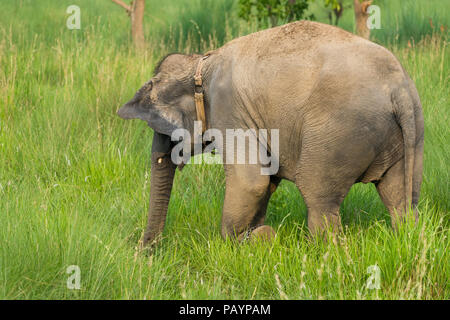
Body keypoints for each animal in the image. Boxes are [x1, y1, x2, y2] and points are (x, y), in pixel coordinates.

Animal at [118, 20, 424, 245]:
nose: (147, 251)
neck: (201, 62)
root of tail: (398, 87)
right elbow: (267, 179)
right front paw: (255, 233)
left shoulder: (229, 108)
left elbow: (250, 181)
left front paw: (241, 241)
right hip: (410, 134)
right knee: (400, 199)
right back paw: (405, 239)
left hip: (337, 133)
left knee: (319, 198)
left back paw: (323, 253)